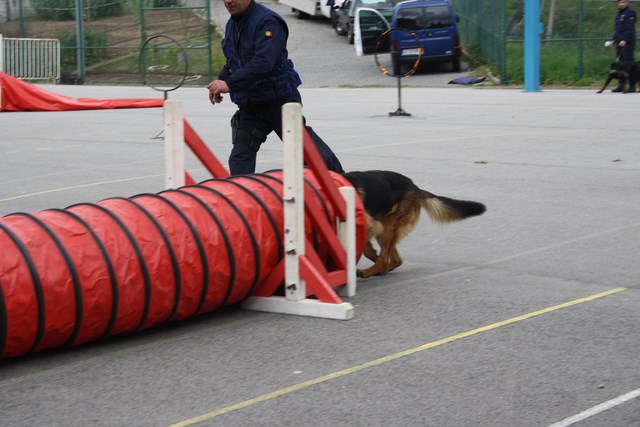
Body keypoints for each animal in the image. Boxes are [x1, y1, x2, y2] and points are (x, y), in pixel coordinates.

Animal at [344, 172, 484, 280]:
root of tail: (415, 187)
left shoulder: (371, 225)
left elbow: (366, 249)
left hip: (387, 227)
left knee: (385, 259)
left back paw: (371, 271)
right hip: (386, 229)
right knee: (395, 260)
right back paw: (380, 269)